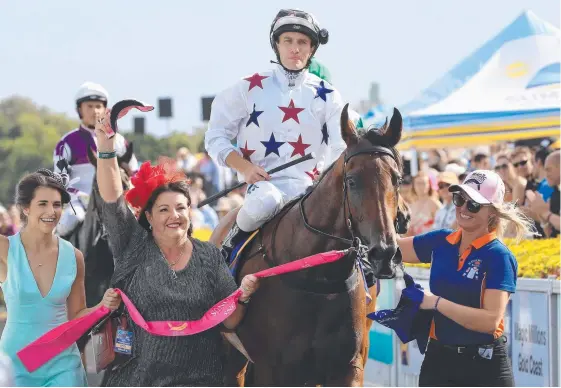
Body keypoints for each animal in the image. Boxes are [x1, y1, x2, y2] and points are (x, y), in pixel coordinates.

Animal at [210, 104, 402, 386]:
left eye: (397, 179)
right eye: (352, 180)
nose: (384, 253)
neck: (318, 273)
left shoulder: (347, 367)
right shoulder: (273, 370)